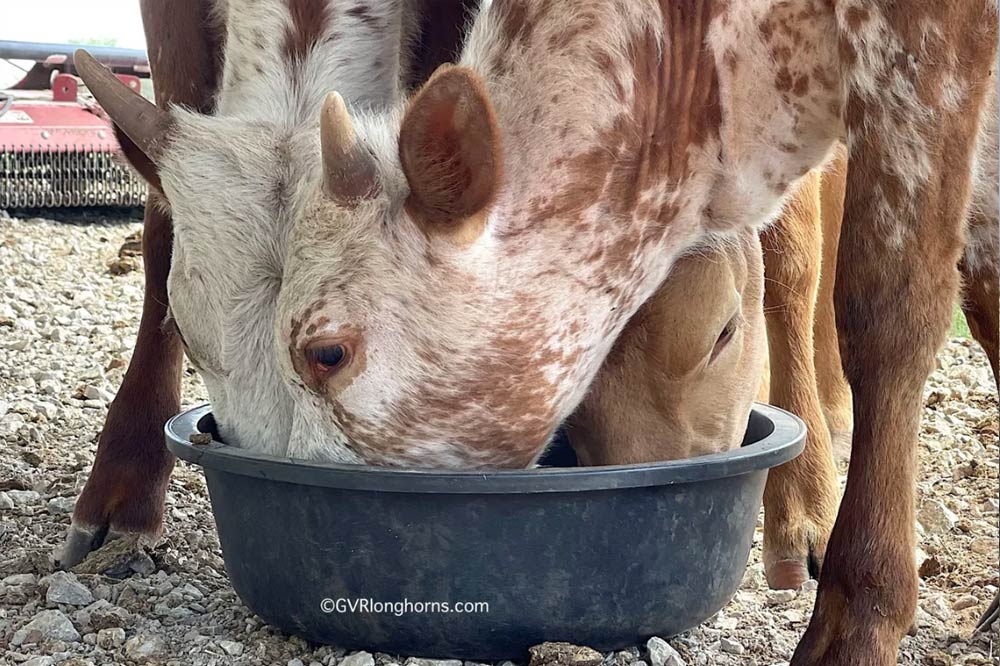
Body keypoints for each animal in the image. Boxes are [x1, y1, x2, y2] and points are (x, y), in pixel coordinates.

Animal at [76, 1, 992, 664]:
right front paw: (123, 485)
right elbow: (158, 222)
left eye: (325, 353)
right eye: (191, 333)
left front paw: (857, 611)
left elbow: (891, 298)